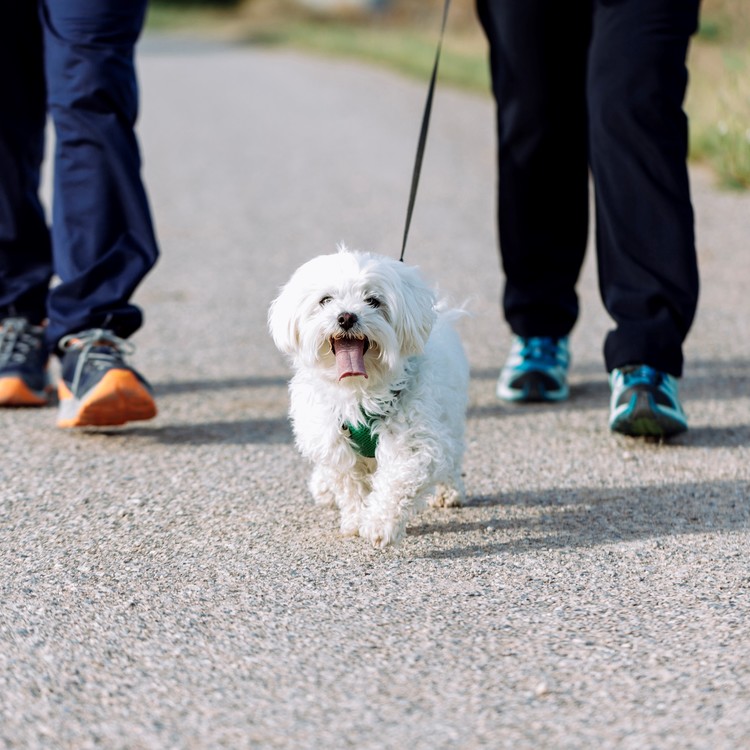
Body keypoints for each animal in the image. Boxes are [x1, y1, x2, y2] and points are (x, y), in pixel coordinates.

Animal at [270, 247, 470, 548]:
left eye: (373, 300)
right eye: (325, 300)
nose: (346, 317)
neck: (359, 390)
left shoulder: (414, 443)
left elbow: (397, 482)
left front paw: (379, 523)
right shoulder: (335, 444)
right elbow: (350, 486)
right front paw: (355, 519)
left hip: (451, 416)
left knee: (452, 456)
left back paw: (449, 492)